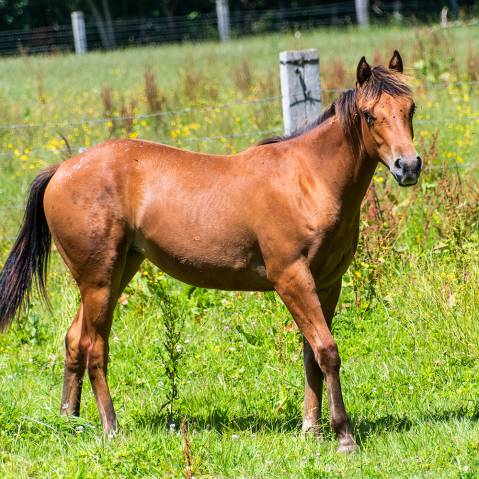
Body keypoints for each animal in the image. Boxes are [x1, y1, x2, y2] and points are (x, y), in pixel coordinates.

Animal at [0, 52, 420, 454]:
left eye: (410, 108)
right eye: (369, 115)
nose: (409, 166)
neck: (308, 180)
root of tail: (61, 170)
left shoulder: (328, 283)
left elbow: (311, 355)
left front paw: (311, 430)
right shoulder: (292, 279)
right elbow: (328, 351)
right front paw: (343, 436)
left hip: (117, 272)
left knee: (74, 340)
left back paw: (70, 422)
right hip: (99, 281)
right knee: (94, 348)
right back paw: (111, 428)